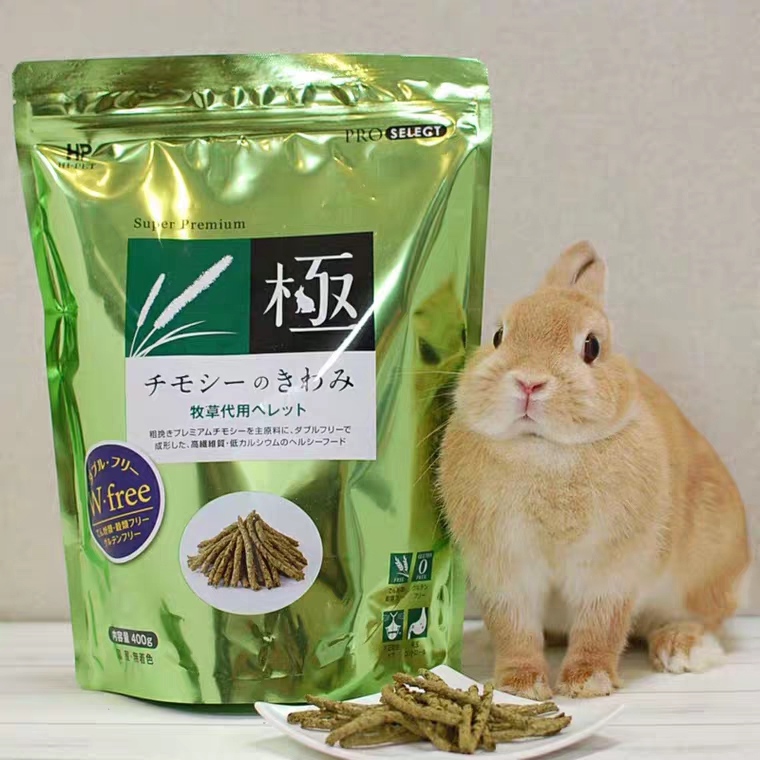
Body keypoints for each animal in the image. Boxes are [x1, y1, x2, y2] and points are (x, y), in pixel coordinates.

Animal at [439, 241, 750, 699]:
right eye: (498, 337)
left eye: (592, 347)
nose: (529, 382)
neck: (546, 451)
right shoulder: (504, 571)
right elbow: (514, 630)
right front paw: (520, 685)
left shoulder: (611, 570)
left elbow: (600, 627)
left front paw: (588, 682)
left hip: (703, 572)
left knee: (702, 619)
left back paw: (683, 649)